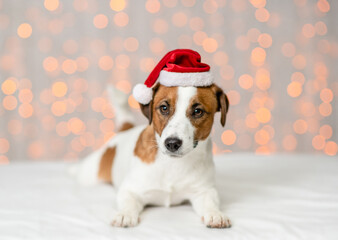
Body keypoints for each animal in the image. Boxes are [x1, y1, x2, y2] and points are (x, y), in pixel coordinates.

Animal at [71, 49, 230, 229]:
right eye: (164, 107)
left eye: (198, 111)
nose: (172, 143)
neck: (172, 164)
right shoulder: (130, 189)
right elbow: (128, 202)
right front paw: (125, 214)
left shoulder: (204, 191)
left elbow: (210, 202)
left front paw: (215, 214)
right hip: (91, 173)